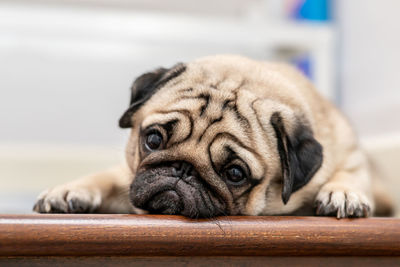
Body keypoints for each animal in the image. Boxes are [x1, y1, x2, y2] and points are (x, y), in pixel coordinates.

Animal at [32, 55, 394, 220]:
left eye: (234, 173)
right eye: (153, 140)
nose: (181, 170)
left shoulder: (350, 155)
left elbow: (351, 173)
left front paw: (343, 193)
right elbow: (107, 177)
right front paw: (70, 190)